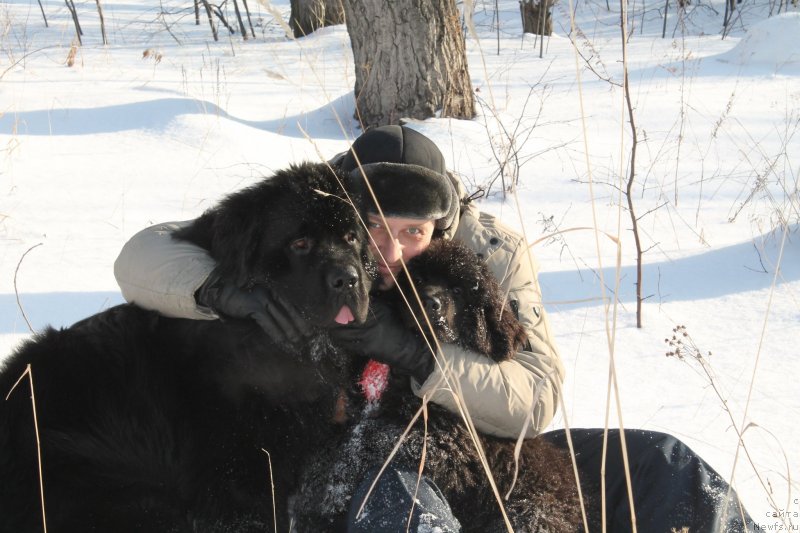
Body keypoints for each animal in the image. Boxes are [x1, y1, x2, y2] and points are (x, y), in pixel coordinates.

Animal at [292, 240, 580, 532]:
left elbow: (368, 443)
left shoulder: (448, 443)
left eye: (458, 290)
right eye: (418, 279)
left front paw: (327, 492)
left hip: (528, 513)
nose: (430, 301)